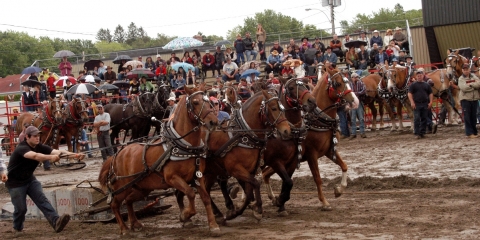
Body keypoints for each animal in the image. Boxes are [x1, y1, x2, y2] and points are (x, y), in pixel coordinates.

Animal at [99, 87, 219, 234]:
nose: (213, 122)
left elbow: (206, 198)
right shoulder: (172, 178)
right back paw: (124, 229)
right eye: (196, 102)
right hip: (122, 186)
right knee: (115, 204)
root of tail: (117, 154)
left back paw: (135, 223)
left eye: (209, 102)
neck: (182, 146)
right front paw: (185, 215)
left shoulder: (198, 176)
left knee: (128, 201)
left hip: (142, 188)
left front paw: (213, 225)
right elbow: (190, 193)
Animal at [262, 66, 360, 211]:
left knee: (264, 173)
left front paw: (339, 190)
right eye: (337, 83)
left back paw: (273, 198)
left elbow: (344, 166)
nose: (355, 101)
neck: (318, 121)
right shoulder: (311, 154)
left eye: (348, 81)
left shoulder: (329, 150)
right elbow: (317, 178)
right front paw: (324, 202)